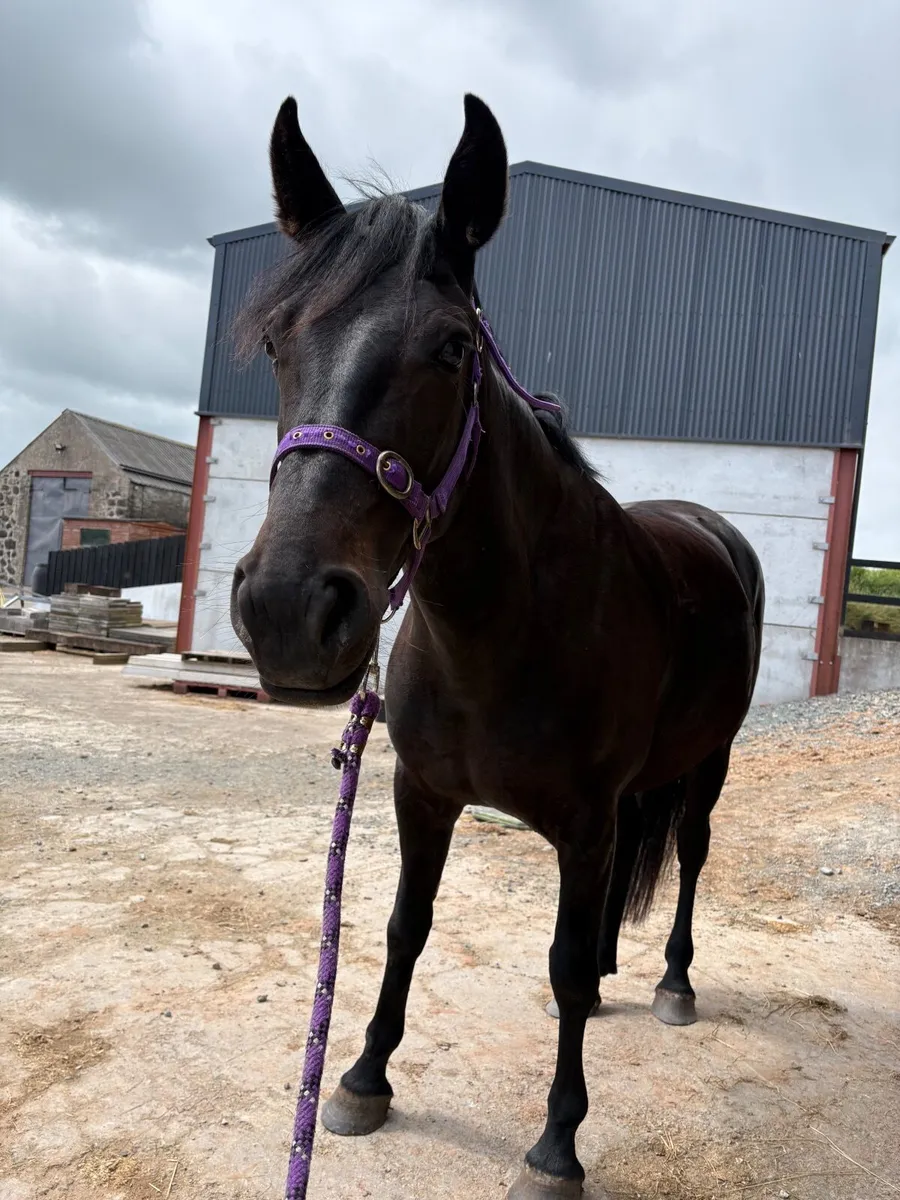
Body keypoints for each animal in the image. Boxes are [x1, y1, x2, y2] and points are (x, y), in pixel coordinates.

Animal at [231, 93, 764, 1200]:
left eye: (448, 349)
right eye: (278, 346)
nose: (291, 612)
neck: (502, 635)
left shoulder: (581, 819)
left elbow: (554, 958)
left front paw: (557, 1143)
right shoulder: (422, 793)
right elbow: (406, 924)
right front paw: (360, 1077)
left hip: (709, 761)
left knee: (689, 853)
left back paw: (670, 982)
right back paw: (609, 978)